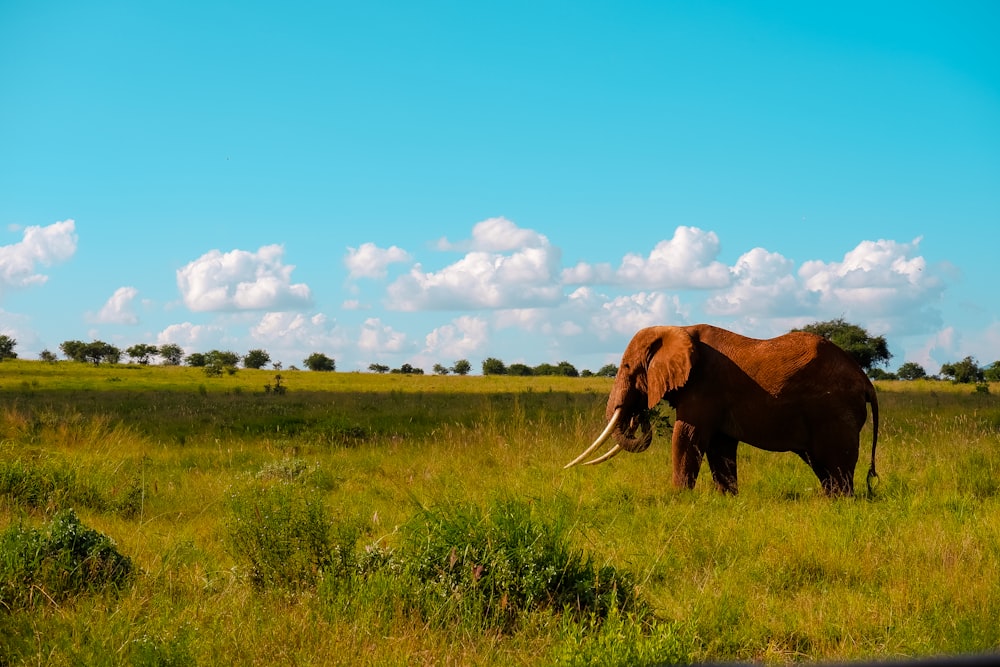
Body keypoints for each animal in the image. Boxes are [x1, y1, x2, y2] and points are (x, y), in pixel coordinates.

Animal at [568, 324, 880, 496]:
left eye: (627, 367)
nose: (640, 413)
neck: (678, 328)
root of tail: (865, 379)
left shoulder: (705, 386)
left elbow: (687, 436)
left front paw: (678, 498)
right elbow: (720, 446)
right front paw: (727, 499)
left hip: (834, 411)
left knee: (836, 462)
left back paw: (840, 502)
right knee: (820, 462)